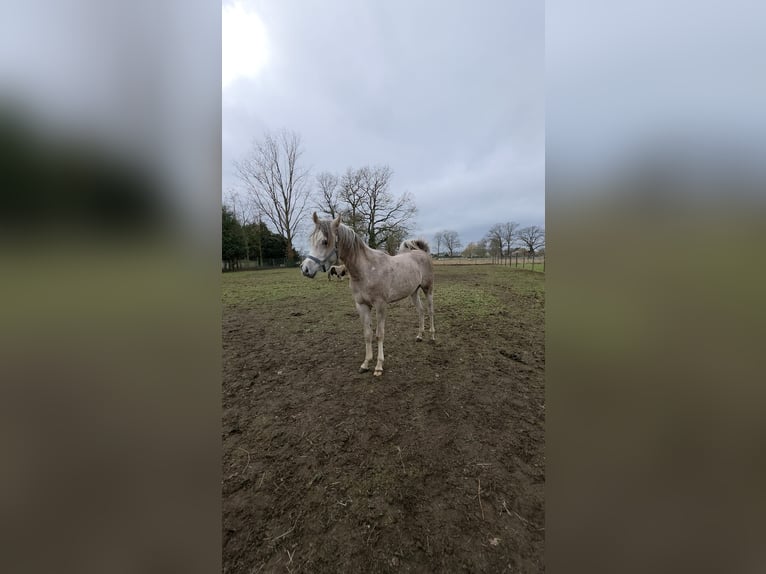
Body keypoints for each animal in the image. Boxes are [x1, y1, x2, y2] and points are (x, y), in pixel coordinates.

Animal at [301, 213, 435, 376]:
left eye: (325, 241)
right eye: (312, 239)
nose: (305, 269)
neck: (366, 270)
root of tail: (422, 253)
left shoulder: (381, 306)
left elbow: (379, 334)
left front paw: (378, 366)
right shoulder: (362, 305)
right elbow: (367, 334)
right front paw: (365, 363)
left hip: (428, 289)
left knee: (430, 311)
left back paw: (432, 336)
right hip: (413, 292)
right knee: (421, 311)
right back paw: (419, 336)